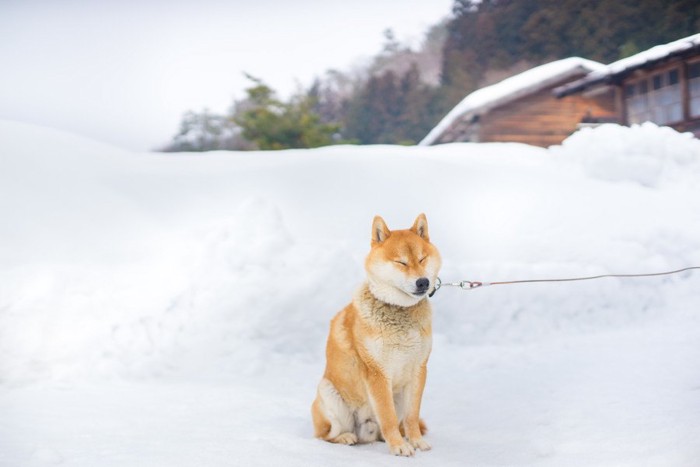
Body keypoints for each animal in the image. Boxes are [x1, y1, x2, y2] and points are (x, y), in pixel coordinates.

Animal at [310, 215, 440, 458]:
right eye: (401, 262)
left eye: (422, 258)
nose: (423, 282)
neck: (398, 311)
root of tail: (365, 430)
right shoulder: (377, 373)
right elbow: (387, 417)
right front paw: (399, 446)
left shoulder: (418, 370)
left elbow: (412, 416)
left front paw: (416, 441)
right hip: (329, 395)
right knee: (325, 435)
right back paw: (346, 437)